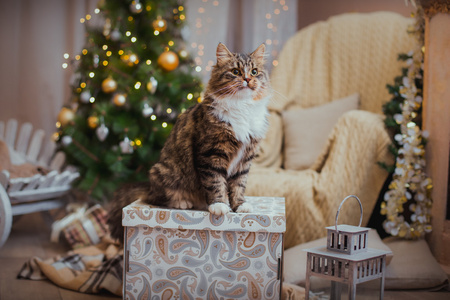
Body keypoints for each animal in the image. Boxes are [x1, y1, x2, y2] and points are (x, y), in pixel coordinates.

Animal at [108, 43, 270, 243]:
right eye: (235, 71)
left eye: (254, 71)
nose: (247, 79)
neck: (242, 107)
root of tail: (148, 186)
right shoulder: (211, 153)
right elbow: (216, 182)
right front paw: (219, 205)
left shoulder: (245, 158)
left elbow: (239, 185)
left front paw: (240, 206)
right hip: (164, 172)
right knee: (156, 198)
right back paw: (182, 202)